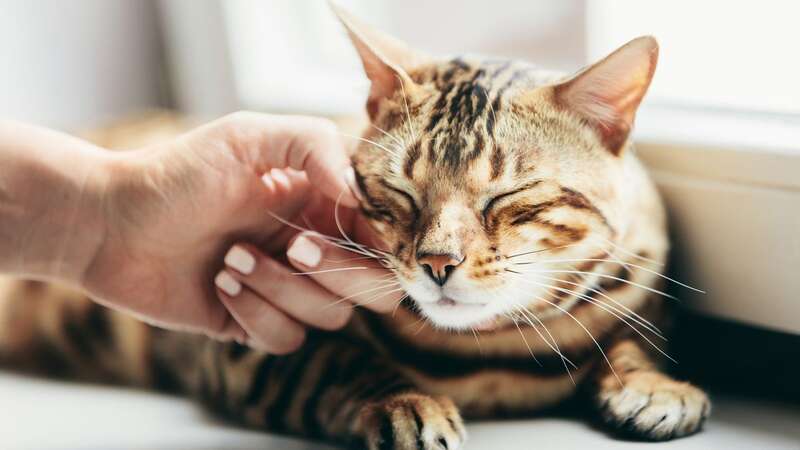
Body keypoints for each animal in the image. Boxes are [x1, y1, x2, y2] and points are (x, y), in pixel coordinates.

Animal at [1, 4, 712, 450]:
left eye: (507, 196)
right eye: (399, 190)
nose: (437, 263)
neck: (487, 353)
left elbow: (633, 337)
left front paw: (655, 384)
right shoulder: (244, 346)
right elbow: (335, 361)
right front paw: (403, 402)